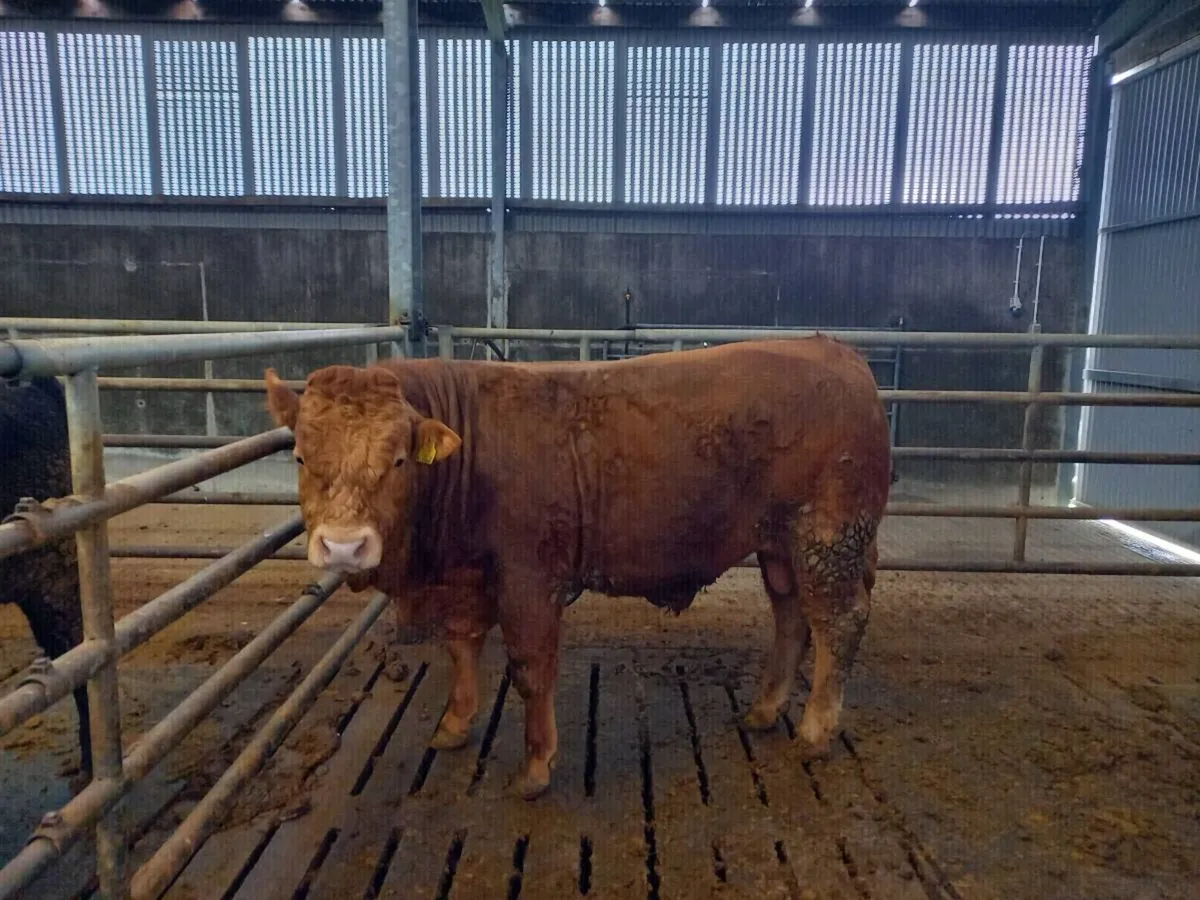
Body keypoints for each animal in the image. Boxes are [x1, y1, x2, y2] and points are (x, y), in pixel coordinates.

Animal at [264, 337, 891, 799]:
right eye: (299, 455)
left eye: (398, 460)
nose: (345, 546)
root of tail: (834, 350)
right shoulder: (465, 578)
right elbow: (462, 646)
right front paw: (454, 725)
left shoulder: (530, 579)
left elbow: (529, 669)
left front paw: (535, 768)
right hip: (780, 544)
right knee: (792, 615)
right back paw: (763, 710)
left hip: (828, 535)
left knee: (839, 622)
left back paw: (814, 731)